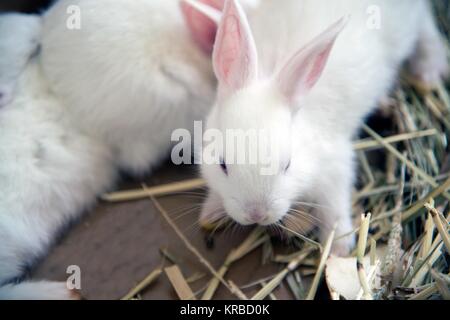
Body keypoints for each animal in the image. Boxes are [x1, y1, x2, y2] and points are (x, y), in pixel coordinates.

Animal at [195, 0, 448, 255]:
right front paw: (210, 213)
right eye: (222, 165)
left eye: (287, 165)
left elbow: (334, 208)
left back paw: (428, 71)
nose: (256, 214)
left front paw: (339, 248)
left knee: (426, 25)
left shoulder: (334, 167)